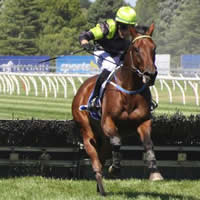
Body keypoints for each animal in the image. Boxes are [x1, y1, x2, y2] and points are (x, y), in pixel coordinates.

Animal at [72, 23, 163, 195]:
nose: (150, 74)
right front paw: (115, 168)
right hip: (86, 131)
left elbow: (148, 143)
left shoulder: (144, 121)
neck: (129, 89)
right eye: (136, 49)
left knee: (102, 156)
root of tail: (82, 89)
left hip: (103, 139)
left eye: (154, 48)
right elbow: (117, 141)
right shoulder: (108, 121)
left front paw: (155, 173)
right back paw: (101, 186)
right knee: (96, 160)